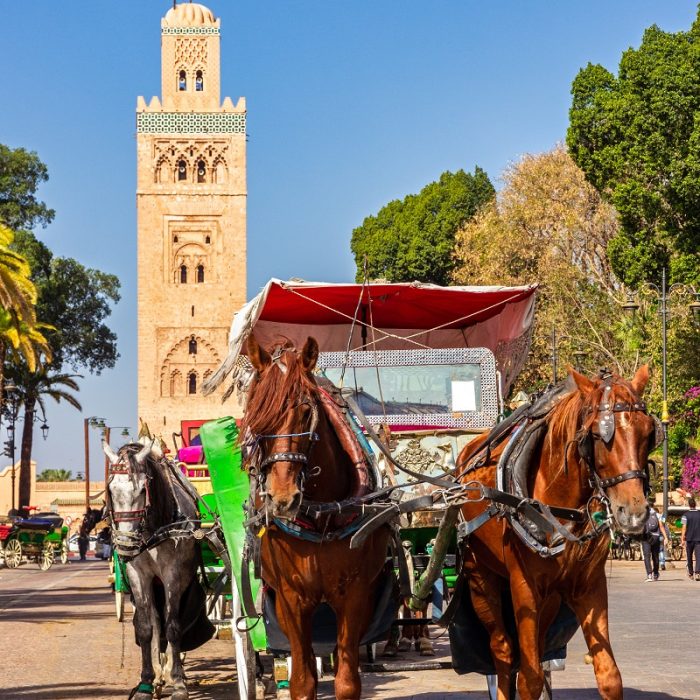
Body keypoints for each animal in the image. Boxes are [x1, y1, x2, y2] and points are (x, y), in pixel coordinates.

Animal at [104, 439, 213, 700]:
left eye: (143, 490)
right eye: (110, 490)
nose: (126, 544)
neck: (153, 529)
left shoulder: (173, 575)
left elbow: (173, 627)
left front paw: (179, 683)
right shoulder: (137, 574)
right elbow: (146, 628)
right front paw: (146, 682)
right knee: (156, 622)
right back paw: (158, 674)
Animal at [244, 335, 392, 700]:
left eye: (306, 411)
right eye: (255, 412)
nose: (283, 498)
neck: (322, 517)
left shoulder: (355, 595)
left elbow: (347, 682)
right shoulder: (290, 599)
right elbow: (303, 681)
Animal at [455, 366, 655, 700]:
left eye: (649, 433)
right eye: (597, 436)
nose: (634, 513)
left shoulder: (588, 586)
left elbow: (609, 676)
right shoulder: (523, 586)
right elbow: (530, 678)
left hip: (548, 598)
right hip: (480, 577)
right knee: (503, 651)